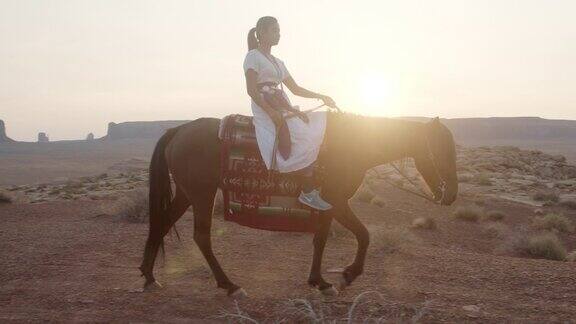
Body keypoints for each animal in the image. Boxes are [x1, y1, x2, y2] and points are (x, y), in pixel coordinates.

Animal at [137, 112, 456, 298]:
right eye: (442, 150)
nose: (451, 194)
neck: (352, 144)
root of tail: (179, 130)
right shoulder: (337, 201)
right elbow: (362, 235)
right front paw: (345, 276)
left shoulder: (329, 205)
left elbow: (322, 239)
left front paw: (320, 281)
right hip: (201, 195)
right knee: (201, 236)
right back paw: (230, 285)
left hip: (187, 193)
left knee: (162, 222)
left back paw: (149, 276)